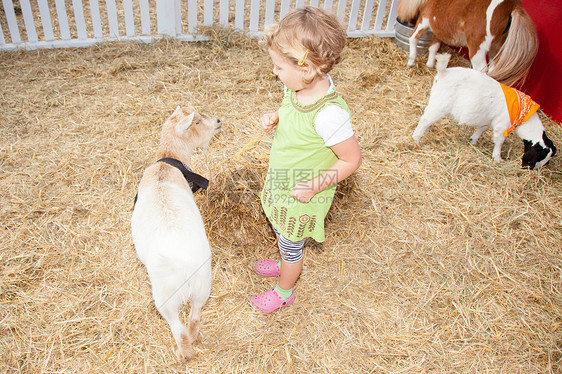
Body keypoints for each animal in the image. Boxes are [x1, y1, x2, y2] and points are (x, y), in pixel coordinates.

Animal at [130, 104, 220, 360]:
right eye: (197, 121)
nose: (218, 121)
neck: (165, 166)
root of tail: (184, 265)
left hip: (164, 296)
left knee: (177, 327)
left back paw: (183, 354)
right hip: (203, 285)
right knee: (194, 317)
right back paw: (195, 338)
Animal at [396, 0, 536, 86]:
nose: (402, 20)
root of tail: (511, 5)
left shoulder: (424, 20)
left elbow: (413, 38)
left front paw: (411, 62)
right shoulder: (437, 28)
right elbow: (433, 47)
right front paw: (430, 64)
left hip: (477, 49)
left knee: (482, 71)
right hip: (496, 49)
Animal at [414, 53, 552, 169]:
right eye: (539, 156)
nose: (532, 169)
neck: (524, 115)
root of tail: (443, 71)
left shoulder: (490, 121)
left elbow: (482, 128)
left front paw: (473, 140)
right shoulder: (501, 126)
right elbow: (499, 141)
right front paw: (497, 158)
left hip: (436, 100)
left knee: (426, 115)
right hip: (441, 105)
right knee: (425, 119)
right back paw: (417, 139)